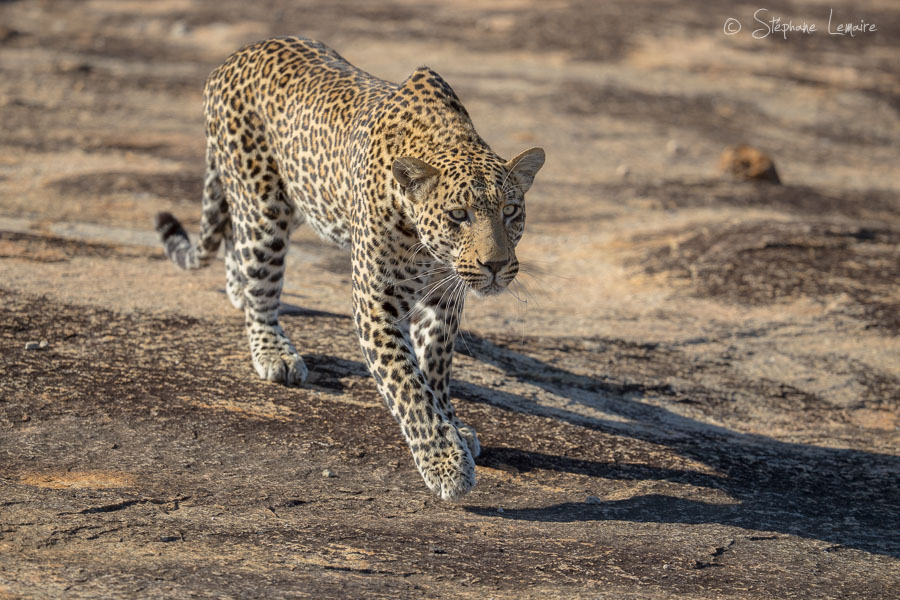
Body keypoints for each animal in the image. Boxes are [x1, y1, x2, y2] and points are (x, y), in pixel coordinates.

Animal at [155, 36, 545, 500]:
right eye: (458, 215)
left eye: (510, 211)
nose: (496, 265)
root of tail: (233, 57)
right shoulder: (376, 305)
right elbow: (409, 387)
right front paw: (445, 463)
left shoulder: (443, 301)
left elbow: (435, 369)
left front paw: (454, 426)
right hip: (265, 205)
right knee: (261, 278)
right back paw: (272, 349)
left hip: (304, 196)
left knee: (235, 230)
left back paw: (237, 286)